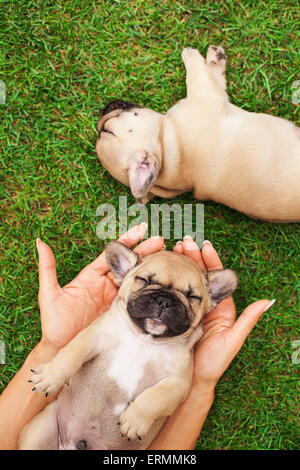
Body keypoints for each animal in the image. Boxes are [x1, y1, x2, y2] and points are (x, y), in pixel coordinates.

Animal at [19, 244, 239, 450]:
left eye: (193, 297)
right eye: (144, 280)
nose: (164, 300)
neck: (145, 339)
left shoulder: (178, 382)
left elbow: (155, 398)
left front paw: (134, 421)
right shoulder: (94, 337)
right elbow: (70, 354)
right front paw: (50, 376)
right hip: (39, 431)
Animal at [95, 46, 300, 222]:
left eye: (106, 131)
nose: (105, 109)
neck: (170, 156)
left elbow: (213, 77)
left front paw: (212, 60)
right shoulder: (206, 95)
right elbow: (198, 75)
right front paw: (195, 55)